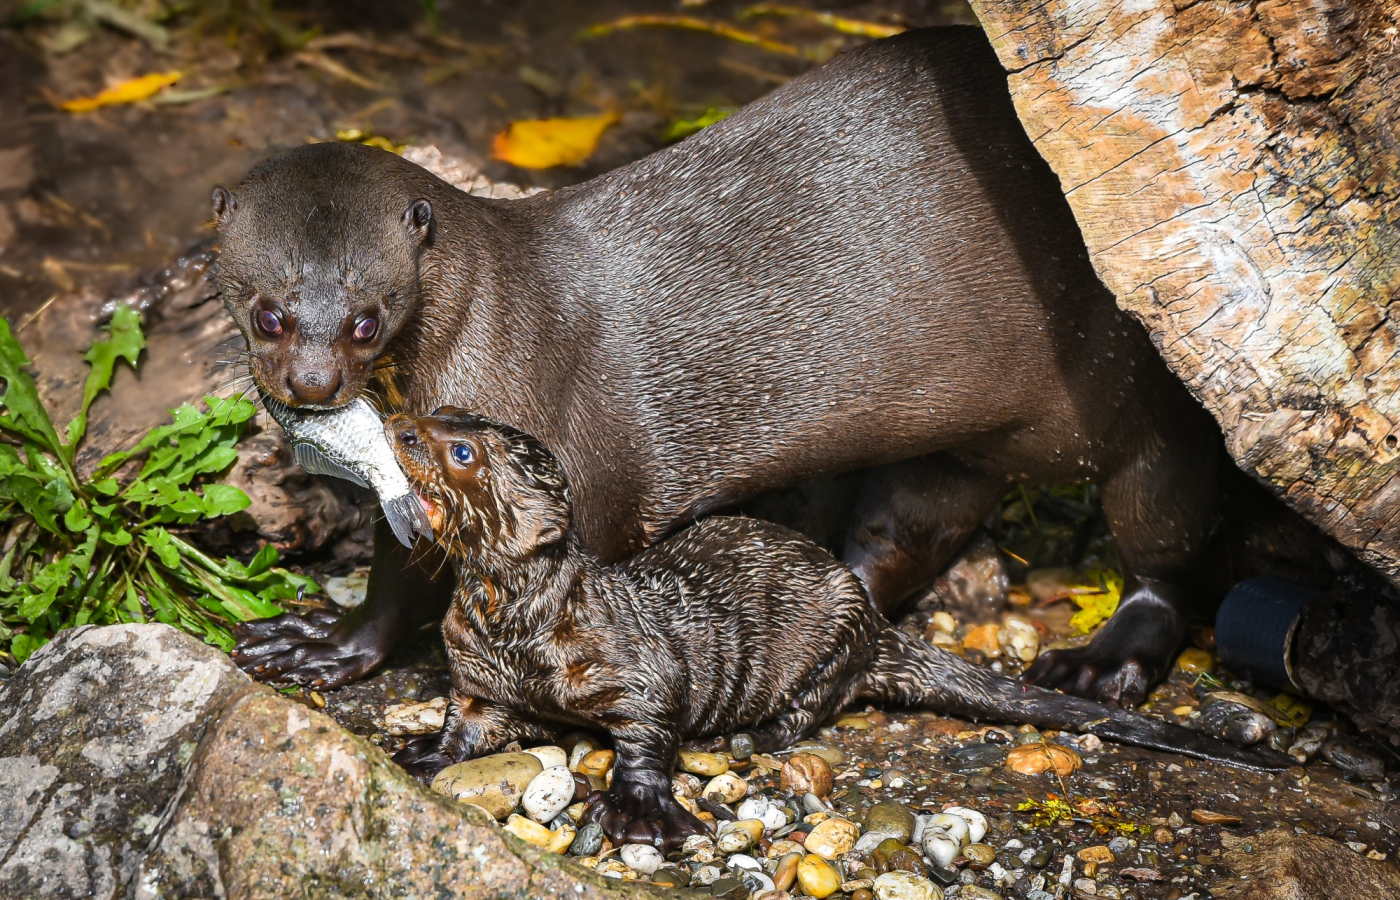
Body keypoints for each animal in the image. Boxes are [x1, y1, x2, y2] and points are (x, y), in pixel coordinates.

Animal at [218, 26, 1226, 705]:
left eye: (366, 320)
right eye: (267, 311)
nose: (312, 384)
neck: (492, 335)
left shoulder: (576, 473)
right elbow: (394, 581)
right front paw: (327, 644)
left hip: (1145, 409)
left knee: (1168, 544)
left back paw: (1101, 661)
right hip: (954, 442)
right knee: (909, 529)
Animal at [383, 411, 1282, 851]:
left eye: (460, 450)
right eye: (442, 412)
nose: (400, 427)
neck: (520, 627)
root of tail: (880, 622)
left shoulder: (639, 671)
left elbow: (646, 730)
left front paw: (639, 810)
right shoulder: (477, 676)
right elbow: (468, 726)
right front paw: (421, 751)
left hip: (836, 631)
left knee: (822, 701)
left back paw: (758, 734)